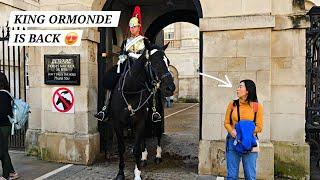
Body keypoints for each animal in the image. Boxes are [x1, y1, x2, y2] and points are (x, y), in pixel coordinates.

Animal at [109, 39, 175, 180]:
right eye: (155, 62)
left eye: (168, 61)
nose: (171, 88)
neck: (130, 90)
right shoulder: (118, 124)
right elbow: (122, 148)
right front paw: (120, 173)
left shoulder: (139, 122)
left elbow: (136, 149)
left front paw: (137, 174)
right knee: (144, 137)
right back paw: (144, 158)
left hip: (157, 118)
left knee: (158, 135)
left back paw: (157, 156)